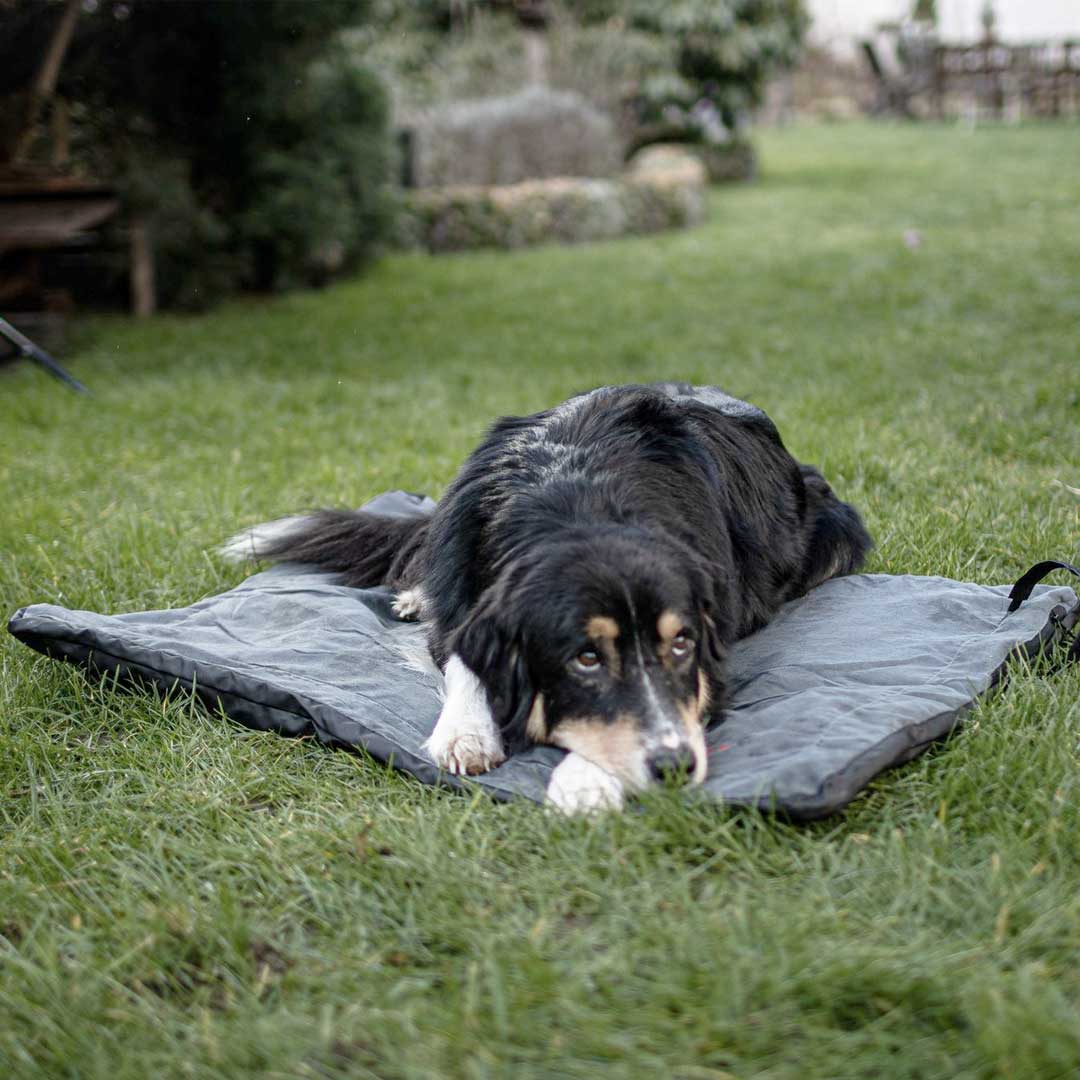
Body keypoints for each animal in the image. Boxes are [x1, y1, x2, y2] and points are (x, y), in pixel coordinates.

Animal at [221, 382, 868, 812]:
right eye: (585, 658)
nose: (676, 767)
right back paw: (413, 597)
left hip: (838, 531)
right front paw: (466, 732)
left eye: (682, 645)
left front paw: (586, 777)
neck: (577, 497)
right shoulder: (467, 594)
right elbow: (465, 659)